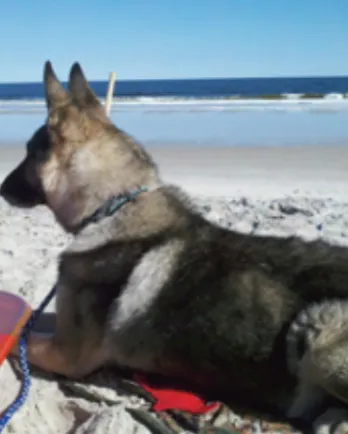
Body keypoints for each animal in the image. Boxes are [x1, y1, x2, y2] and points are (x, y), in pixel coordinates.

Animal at [2, 62, 348, 432]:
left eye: (29, 153)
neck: (112, 206)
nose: (1, 187)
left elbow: (18, 339)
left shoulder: (66, 354)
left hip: (322, 327)